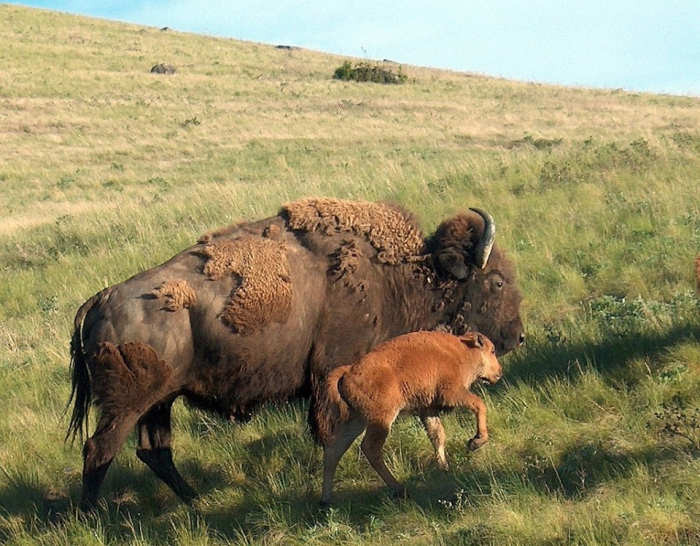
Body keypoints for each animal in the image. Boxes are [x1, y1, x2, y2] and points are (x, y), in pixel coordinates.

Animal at [320, 328, 506, 502]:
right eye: (492, 351)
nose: (499, 372)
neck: (464, 350)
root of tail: (347, 373)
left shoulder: (428, 409)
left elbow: (437, 436)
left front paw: (444, 469)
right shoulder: (452, 394)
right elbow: (479, 405)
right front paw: (475, 441)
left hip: (356, 420)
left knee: (334, 449)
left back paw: (326, 500)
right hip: (381, 418)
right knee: (370, 448)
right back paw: (399, 489)